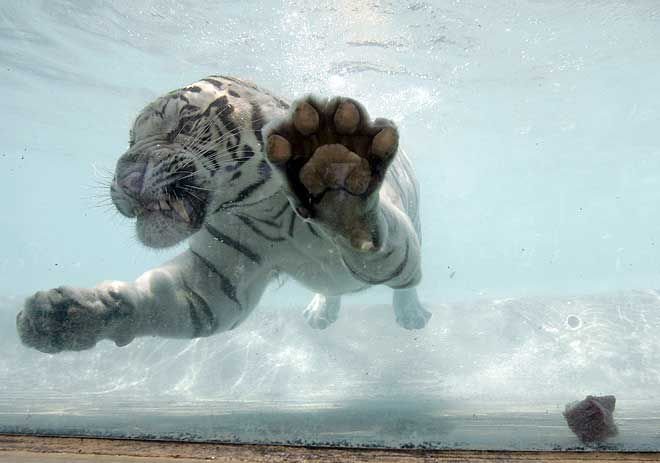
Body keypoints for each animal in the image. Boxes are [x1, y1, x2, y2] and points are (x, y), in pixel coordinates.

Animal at [16, 76, 431, 353]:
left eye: (183, 125)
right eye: (132, 139)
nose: (127, 178)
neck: (264, 209)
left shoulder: (392, 243)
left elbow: (372, 240)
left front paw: (333, 173)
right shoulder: (214, 278)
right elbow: (152, 301)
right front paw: (60, 314)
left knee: (405, 283)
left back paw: (411, 313)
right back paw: (320, 312)